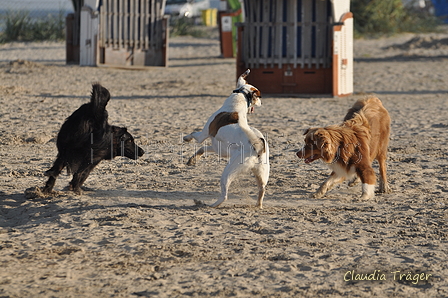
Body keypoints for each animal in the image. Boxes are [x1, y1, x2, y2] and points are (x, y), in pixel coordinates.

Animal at [183, 70, 270, 208]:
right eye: (260, 97)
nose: (262, 103)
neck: (239, 98)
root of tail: (258, 147)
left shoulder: (203, 135)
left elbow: (194, 136)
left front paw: (186, 138)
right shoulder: (218, 148)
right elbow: (202, 149)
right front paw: (192, 159)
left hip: (228, 172)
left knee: (224, 195)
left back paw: (208, 204)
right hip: (262, 174)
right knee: (262, 189)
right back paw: (258, 205)